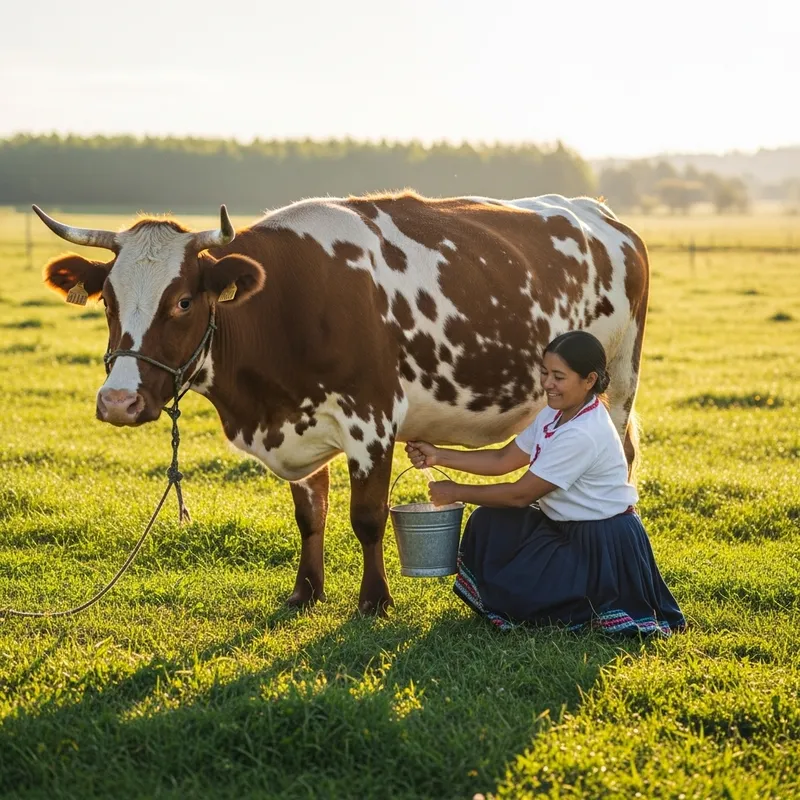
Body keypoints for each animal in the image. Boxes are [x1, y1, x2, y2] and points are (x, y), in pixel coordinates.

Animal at [34, 191, 649, 615]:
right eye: (108, 302)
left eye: (184, 300)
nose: (118, 401)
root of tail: (599, 213)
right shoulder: (297, 425)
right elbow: (311, 515)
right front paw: (305, 592)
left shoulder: (371, 420)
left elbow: (368, 517)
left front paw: (374, 600)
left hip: (618, 381)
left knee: (621, 456)